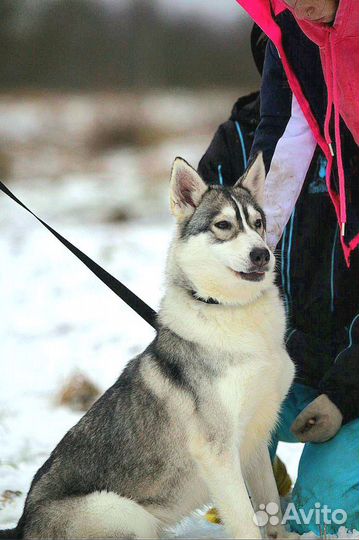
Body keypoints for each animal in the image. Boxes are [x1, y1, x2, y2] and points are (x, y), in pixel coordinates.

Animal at [2, 153, 296, 540]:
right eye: (223, 225)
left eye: (258, 223)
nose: (262, 254)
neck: (230, 311)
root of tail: (22, 524)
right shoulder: (217, 452)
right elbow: (246, 523)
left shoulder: (256, 440)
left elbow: (271, 509)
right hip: (122, 511)